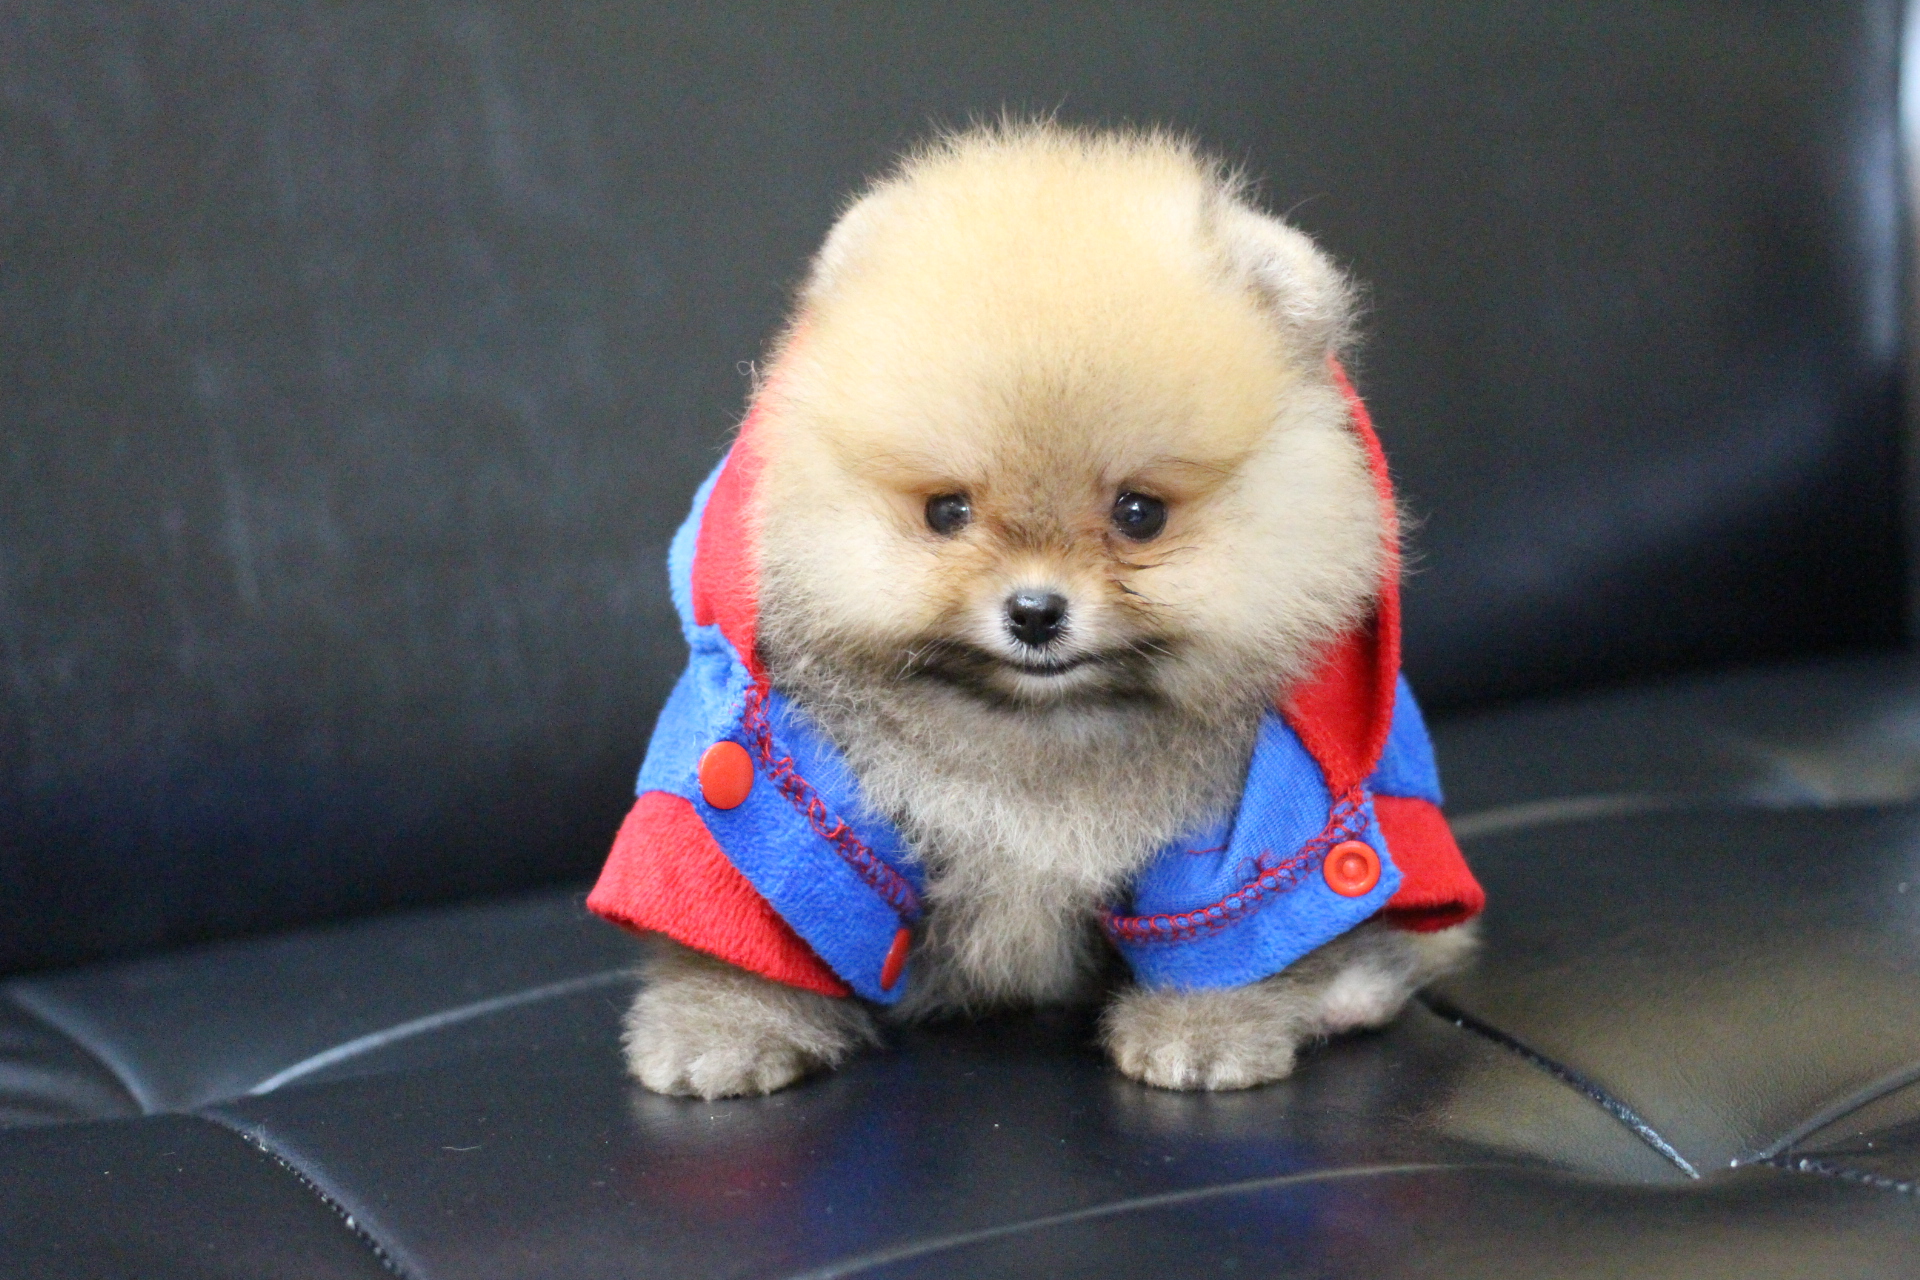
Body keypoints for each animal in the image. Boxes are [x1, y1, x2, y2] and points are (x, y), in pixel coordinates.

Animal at [597, 121, 1482, 1100]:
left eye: (1139, 513)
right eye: (948, 511)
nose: (1033, 611)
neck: (1036, 735)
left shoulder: (1258, 804)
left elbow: (1230, 927)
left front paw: (1205, 1031)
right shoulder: (773, 774)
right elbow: (748, 904)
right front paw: (725, 1024)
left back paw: (1351, 987)